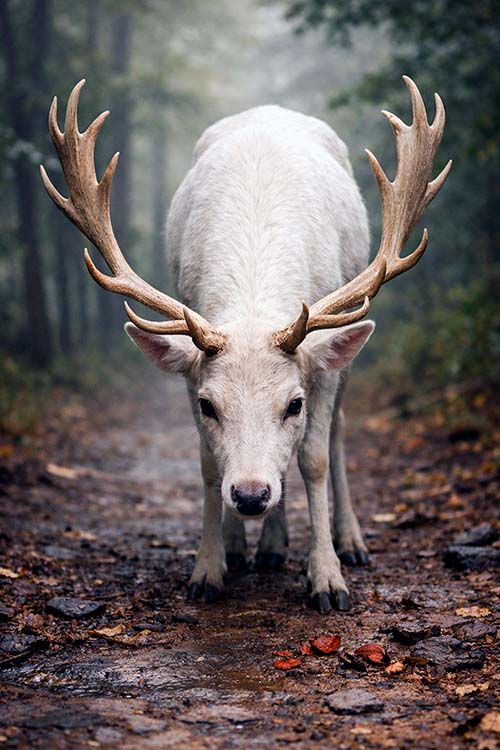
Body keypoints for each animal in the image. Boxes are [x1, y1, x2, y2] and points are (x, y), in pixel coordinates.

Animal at [41, 76, 450, 613]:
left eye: (294, 404)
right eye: (208, 405)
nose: (252, 495)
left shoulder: (321, 363)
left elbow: (314, 459)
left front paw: (328, 580)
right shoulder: (189, 369)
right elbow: (207, 465)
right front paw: (208, 569)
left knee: (337, 432)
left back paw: (348, 541)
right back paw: (259, 546)